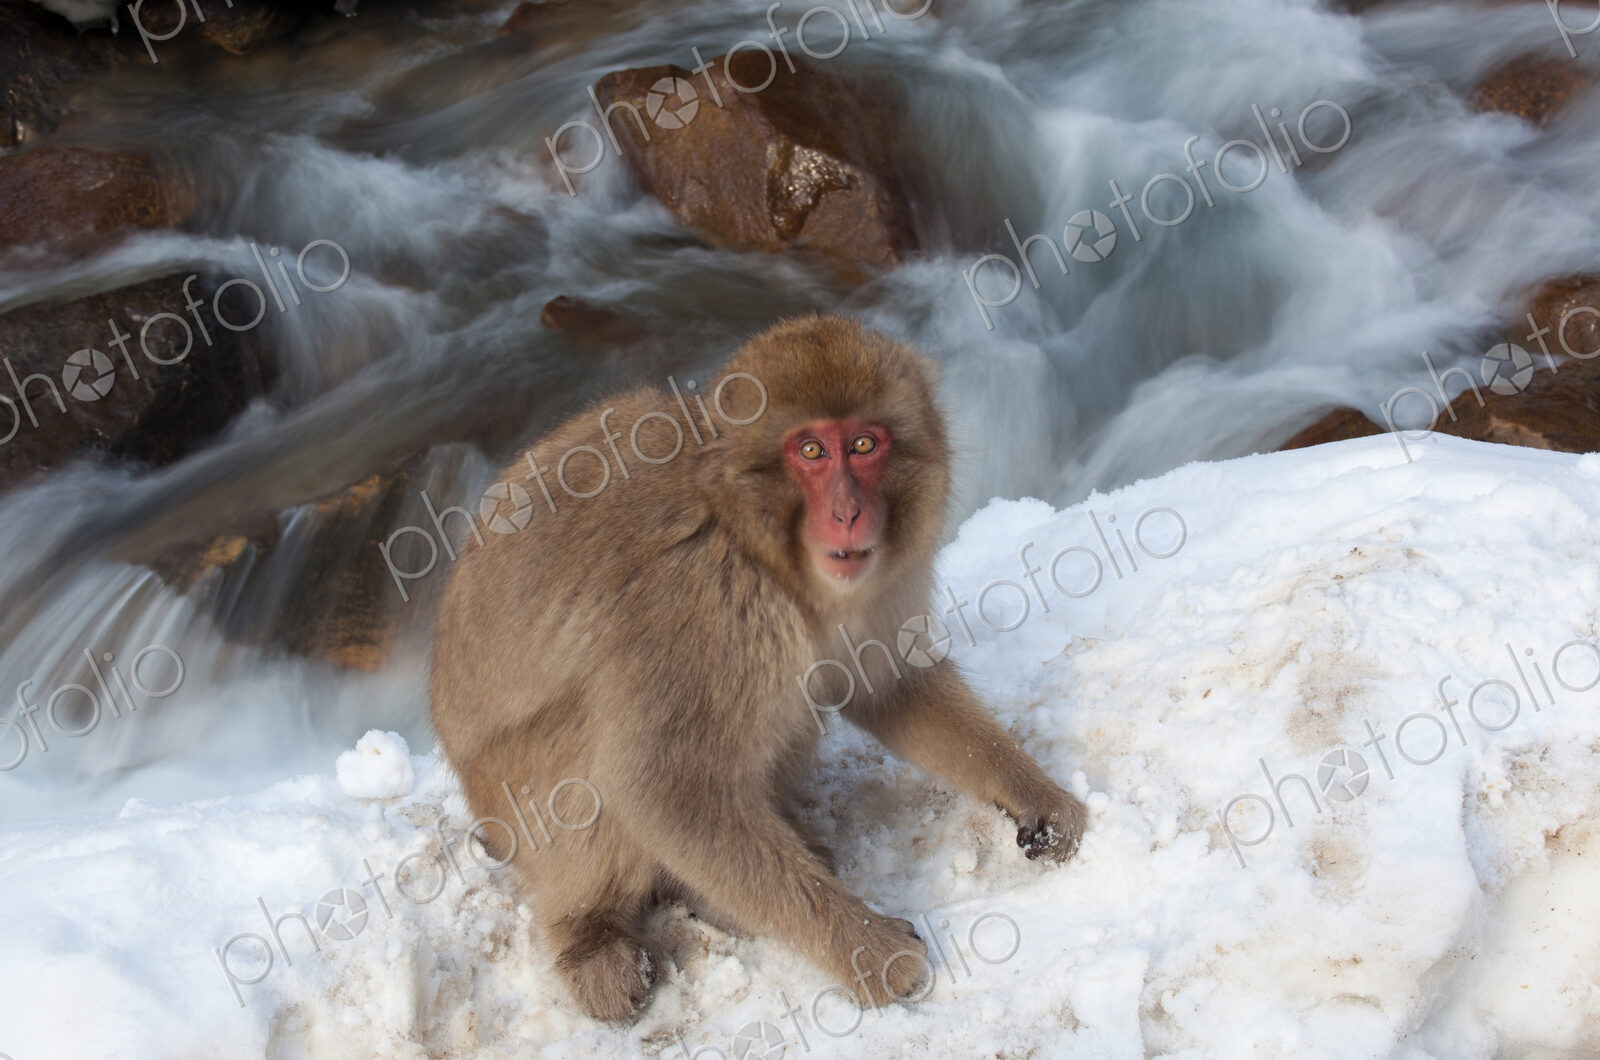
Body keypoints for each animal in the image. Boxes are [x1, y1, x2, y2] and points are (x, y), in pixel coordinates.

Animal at [429, 314, 1086, 1022]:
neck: (755, 540)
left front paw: (1037, 795)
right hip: (518, 795)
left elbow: (888, 684)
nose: (849, 512)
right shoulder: (704, 604)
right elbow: (665, 789)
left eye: (864, 444)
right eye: (811, 452)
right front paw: (872, 953)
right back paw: (592, 935)